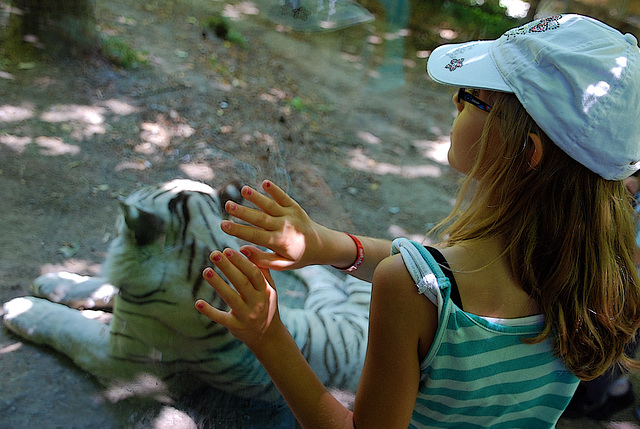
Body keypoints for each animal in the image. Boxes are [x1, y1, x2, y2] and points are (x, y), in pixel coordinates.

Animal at [1, 180, 370, 404]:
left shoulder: (122, 359)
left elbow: (65, 327)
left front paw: (21, 308)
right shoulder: (127, 296)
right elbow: (99, 285)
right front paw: (51, 282)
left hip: (357, 298)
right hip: (323, 300)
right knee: (322, 276)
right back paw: (282, 249)